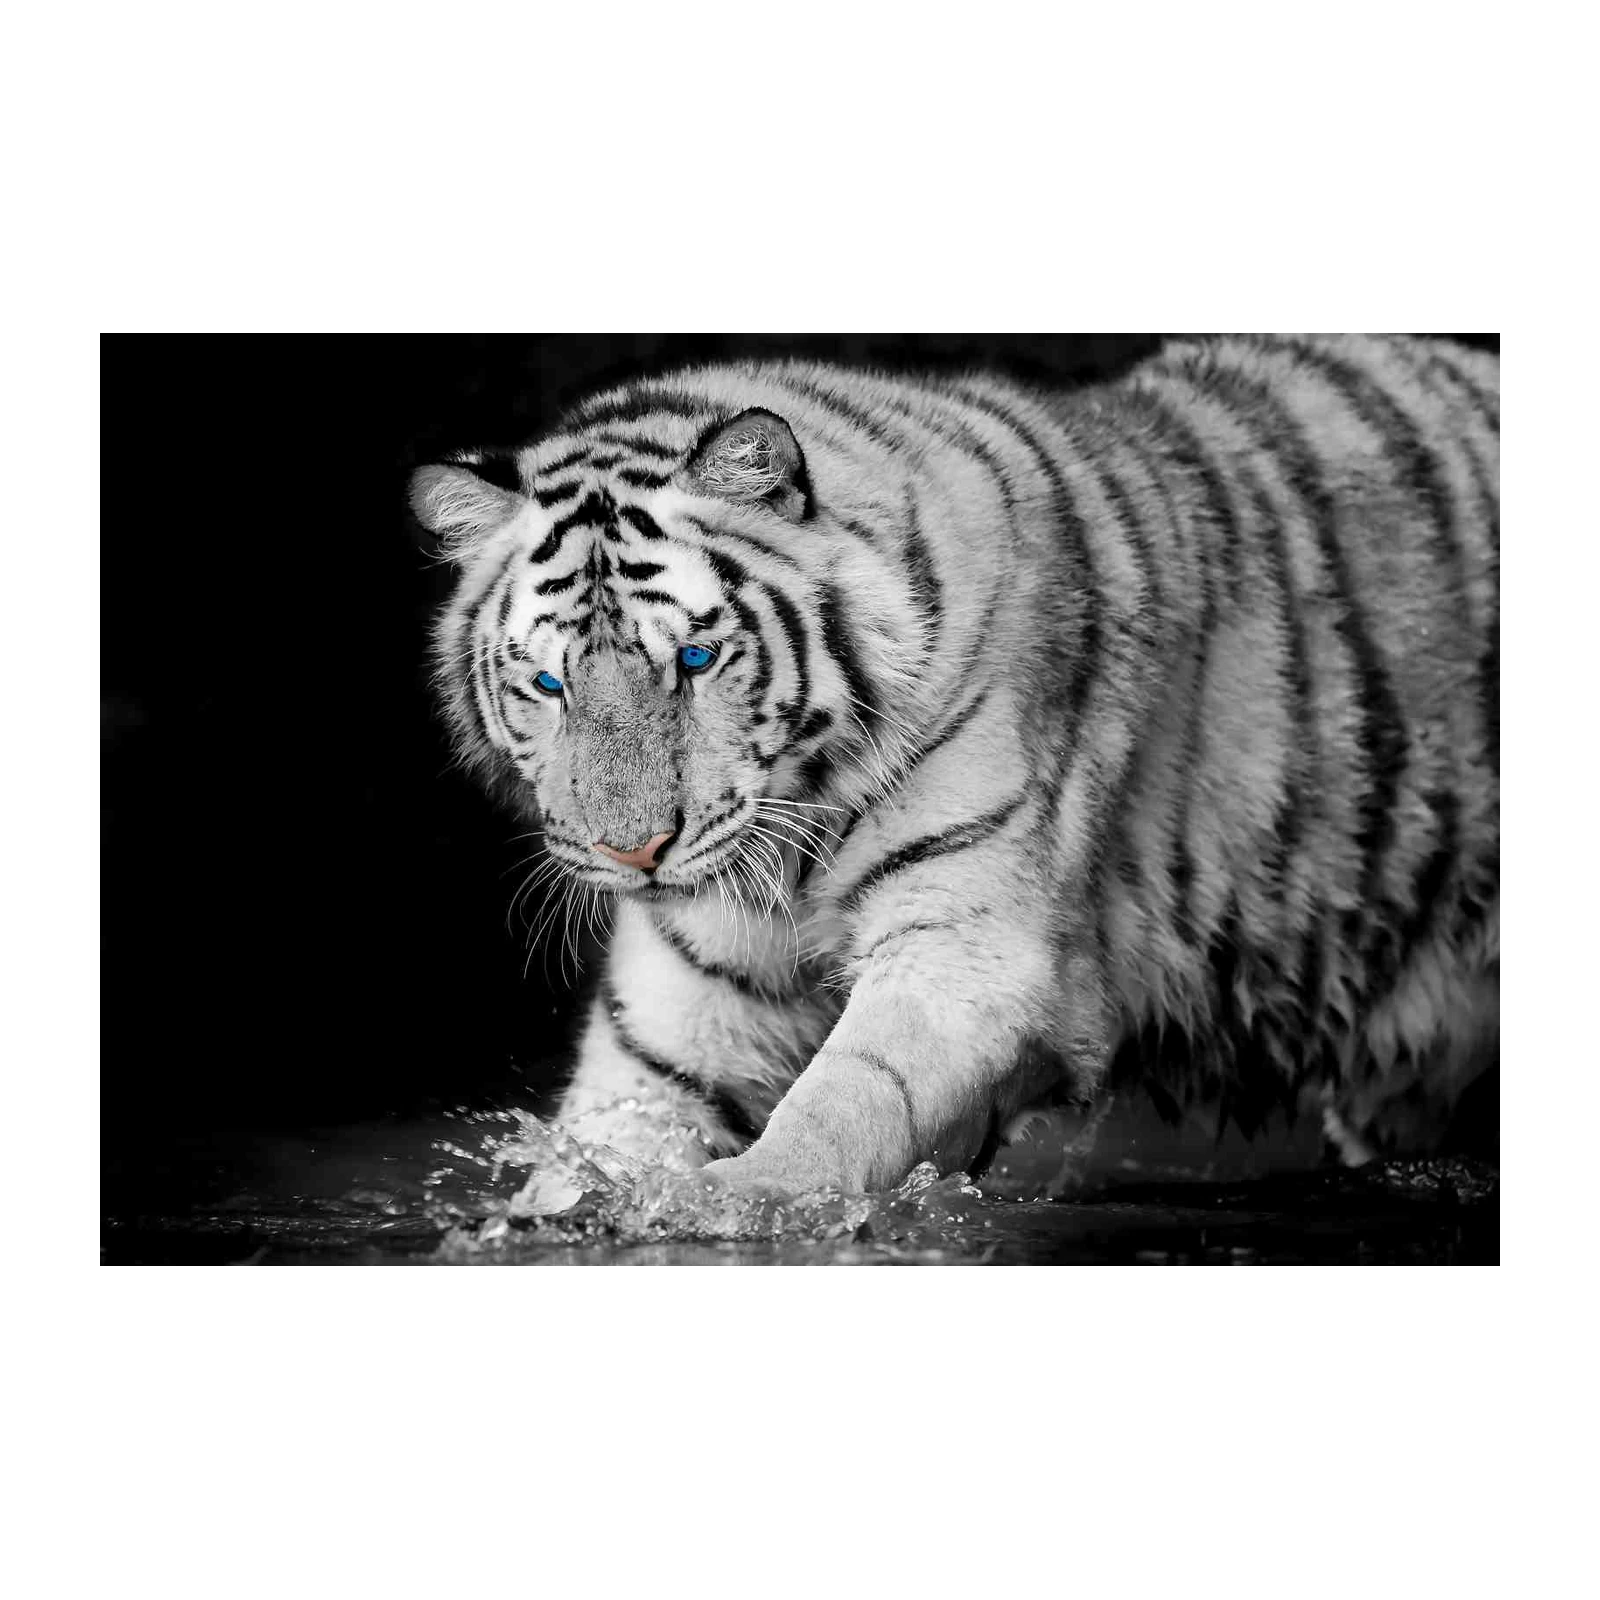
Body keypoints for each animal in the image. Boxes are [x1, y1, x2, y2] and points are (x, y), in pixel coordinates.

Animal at [408, 328, 1503, 1198]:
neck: (791, 838)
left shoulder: (970, 951)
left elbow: (846, 1101)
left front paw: (736, 1201)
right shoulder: (687, 1000)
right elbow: (611, 1132)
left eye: (695, 660)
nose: (632, 853)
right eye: (547, 684)